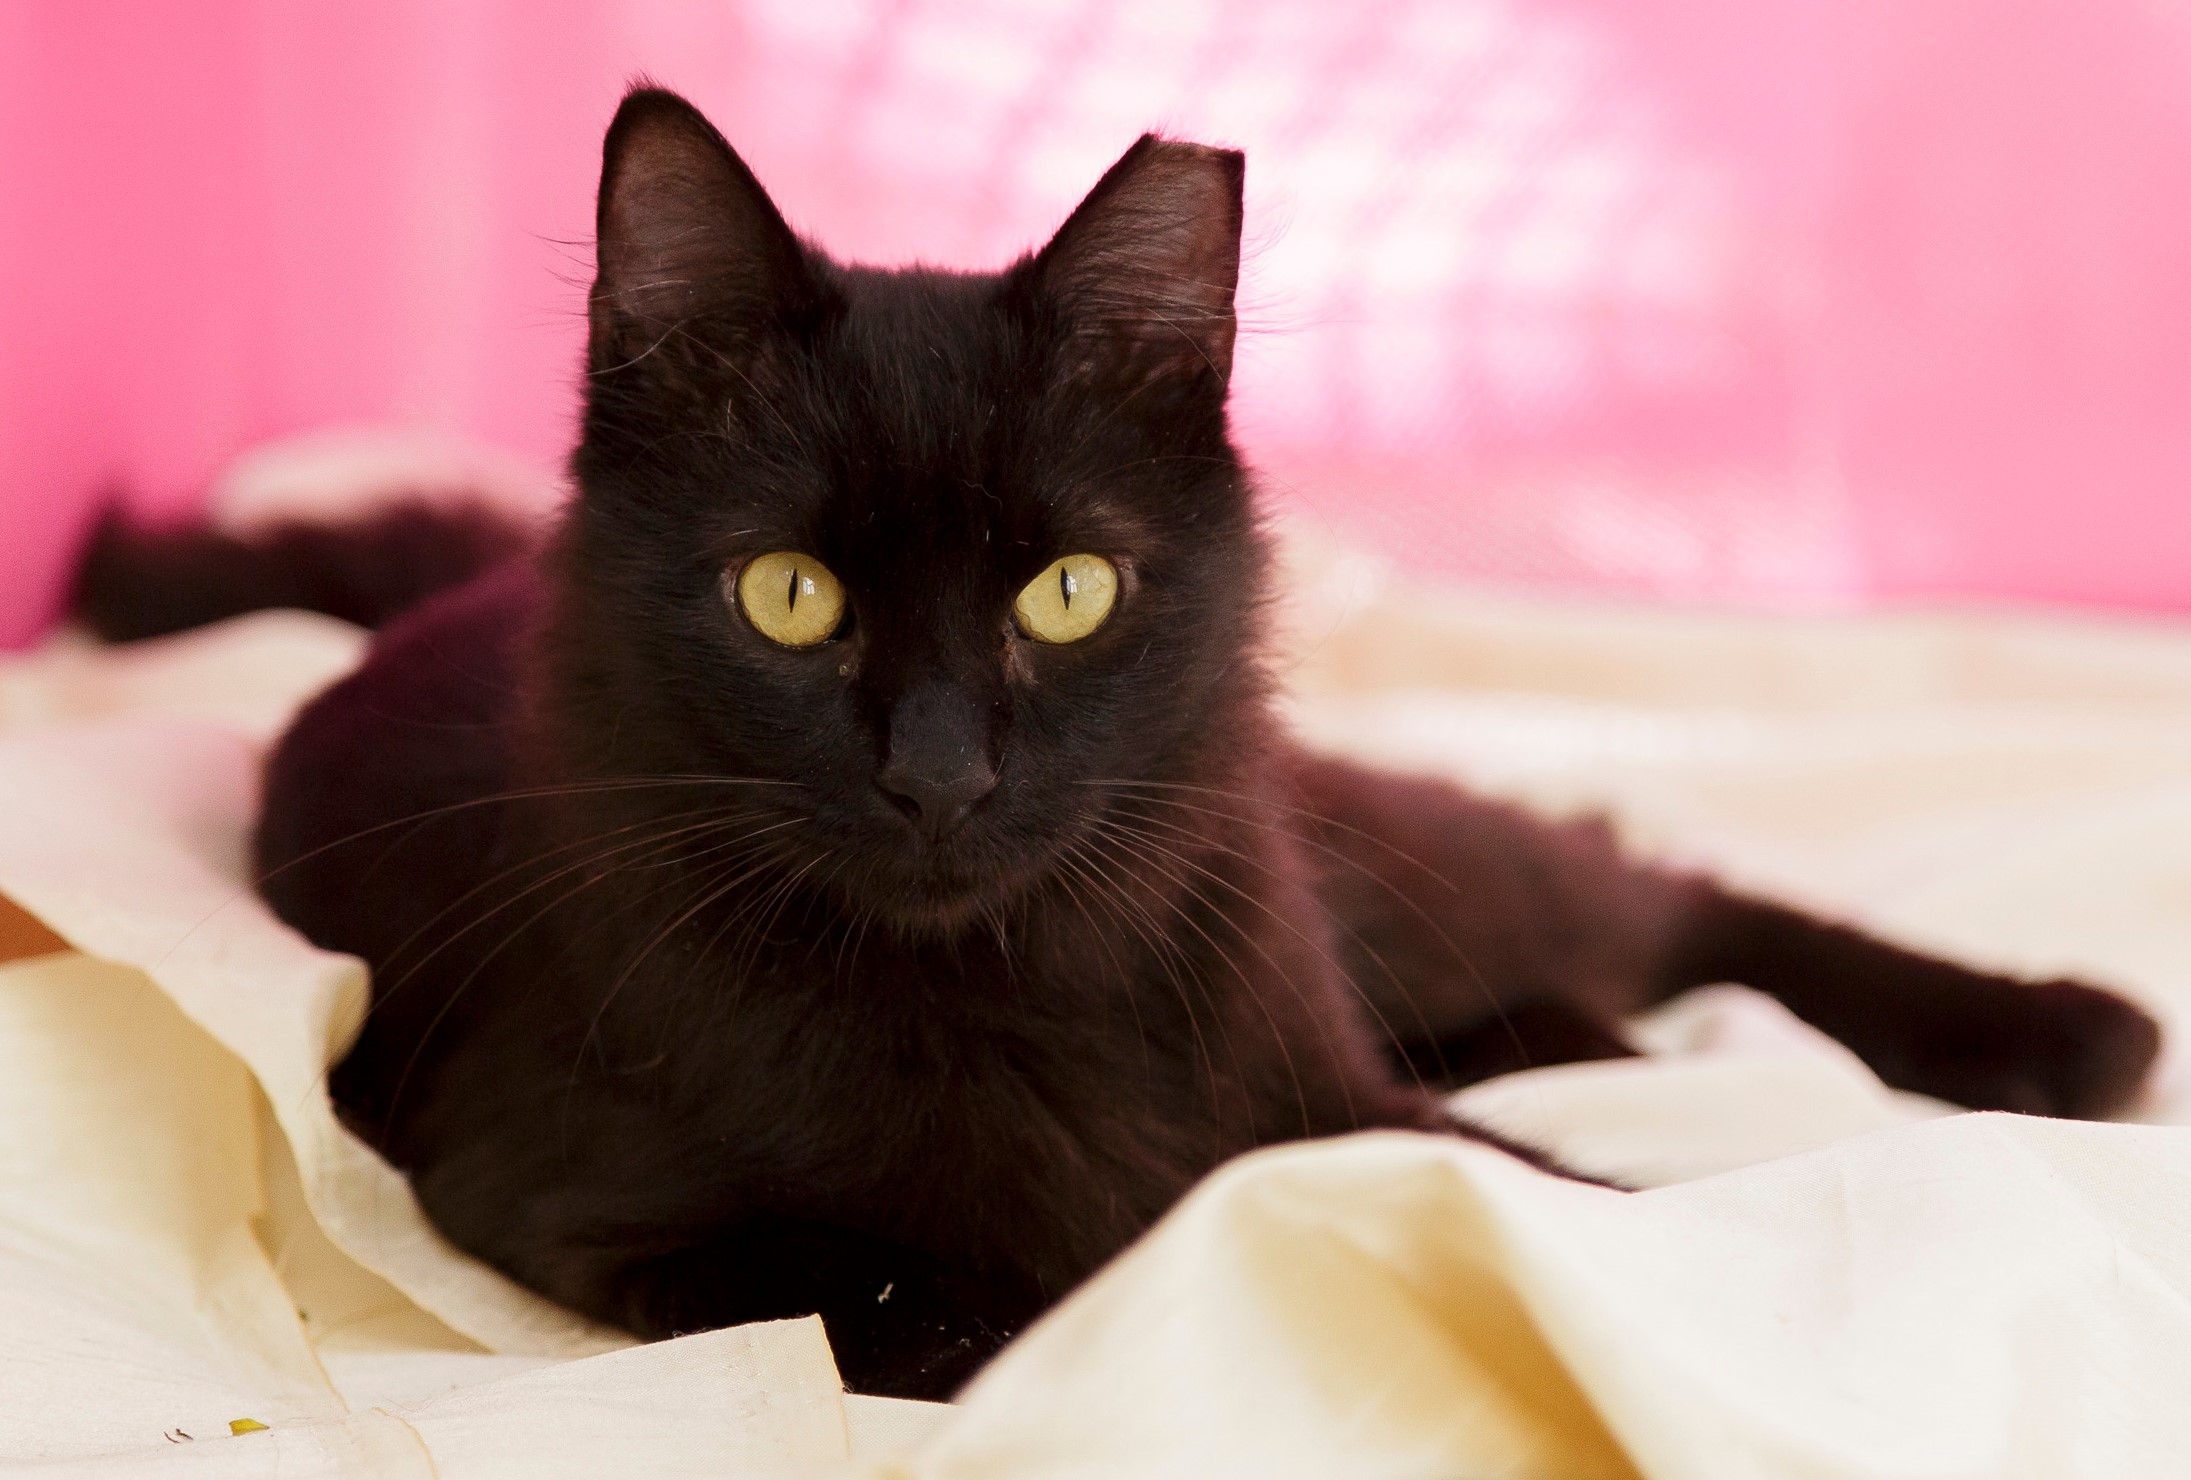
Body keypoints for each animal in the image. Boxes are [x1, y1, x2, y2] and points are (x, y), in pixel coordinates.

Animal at [72, 86, 2155, 1403]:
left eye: (1068, 592)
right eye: (788, 598)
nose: (937, 773)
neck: (1008, 986)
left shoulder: (1328, 1101)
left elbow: (1530, 1203)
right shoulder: (570, 1194)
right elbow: (993, 1290)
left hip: (1338, 847)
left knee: (1646, 880)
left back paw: (2072, 1033)